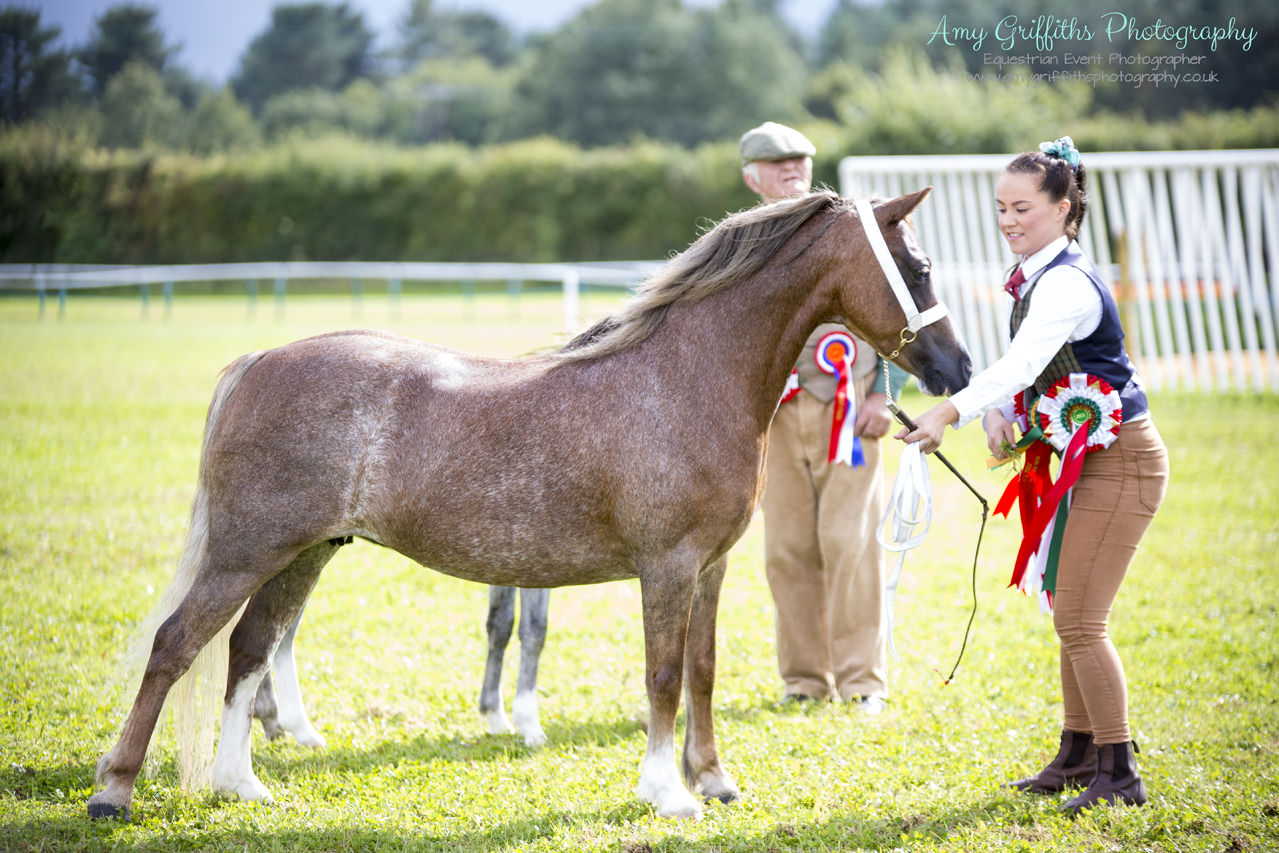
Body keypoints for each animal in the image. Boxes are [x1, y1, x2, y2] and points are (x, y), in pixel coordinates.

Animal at [87, 187, 966, 818]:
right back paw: (114, 790)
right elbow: (662, 674)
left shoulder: (712, 567)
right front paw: (668, 792)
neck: (684, 375)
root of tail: (258, 359)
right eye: (918, 268)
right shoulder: (668, 566)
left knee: (248, 649)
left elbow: (704, 670)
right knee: (177, 643)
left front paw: (713, 779)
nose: (955, 368)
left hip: (300, 553)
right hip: (245, 550)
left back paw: (240, 784)